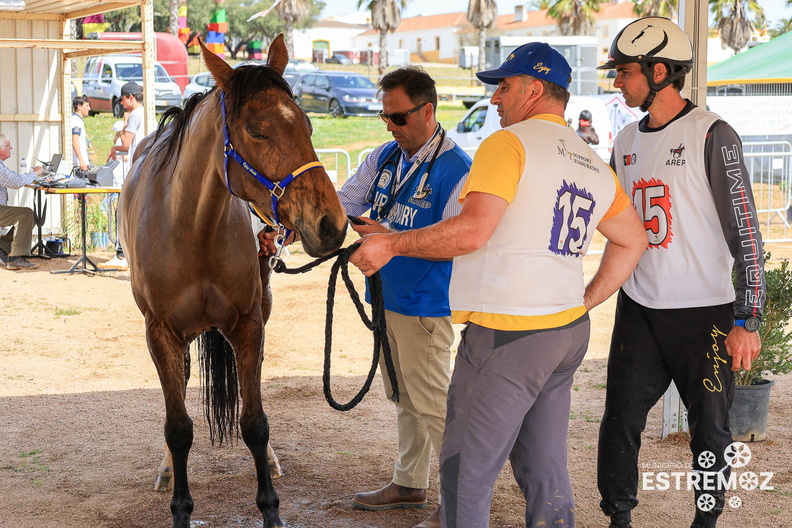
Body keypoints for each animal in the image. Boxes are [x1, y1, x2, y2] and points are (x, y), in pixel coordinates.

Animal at [118, 35, 346, 524]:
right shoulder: (160, 333)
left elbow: (255, 423)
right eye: (257, 131)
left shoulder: (248, 324)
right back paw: (167, 468)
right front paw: (180, 507)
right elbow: (178, 428)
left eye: (307, 125)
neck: (192, 226)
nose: (331, 224)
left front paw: (271, 509)